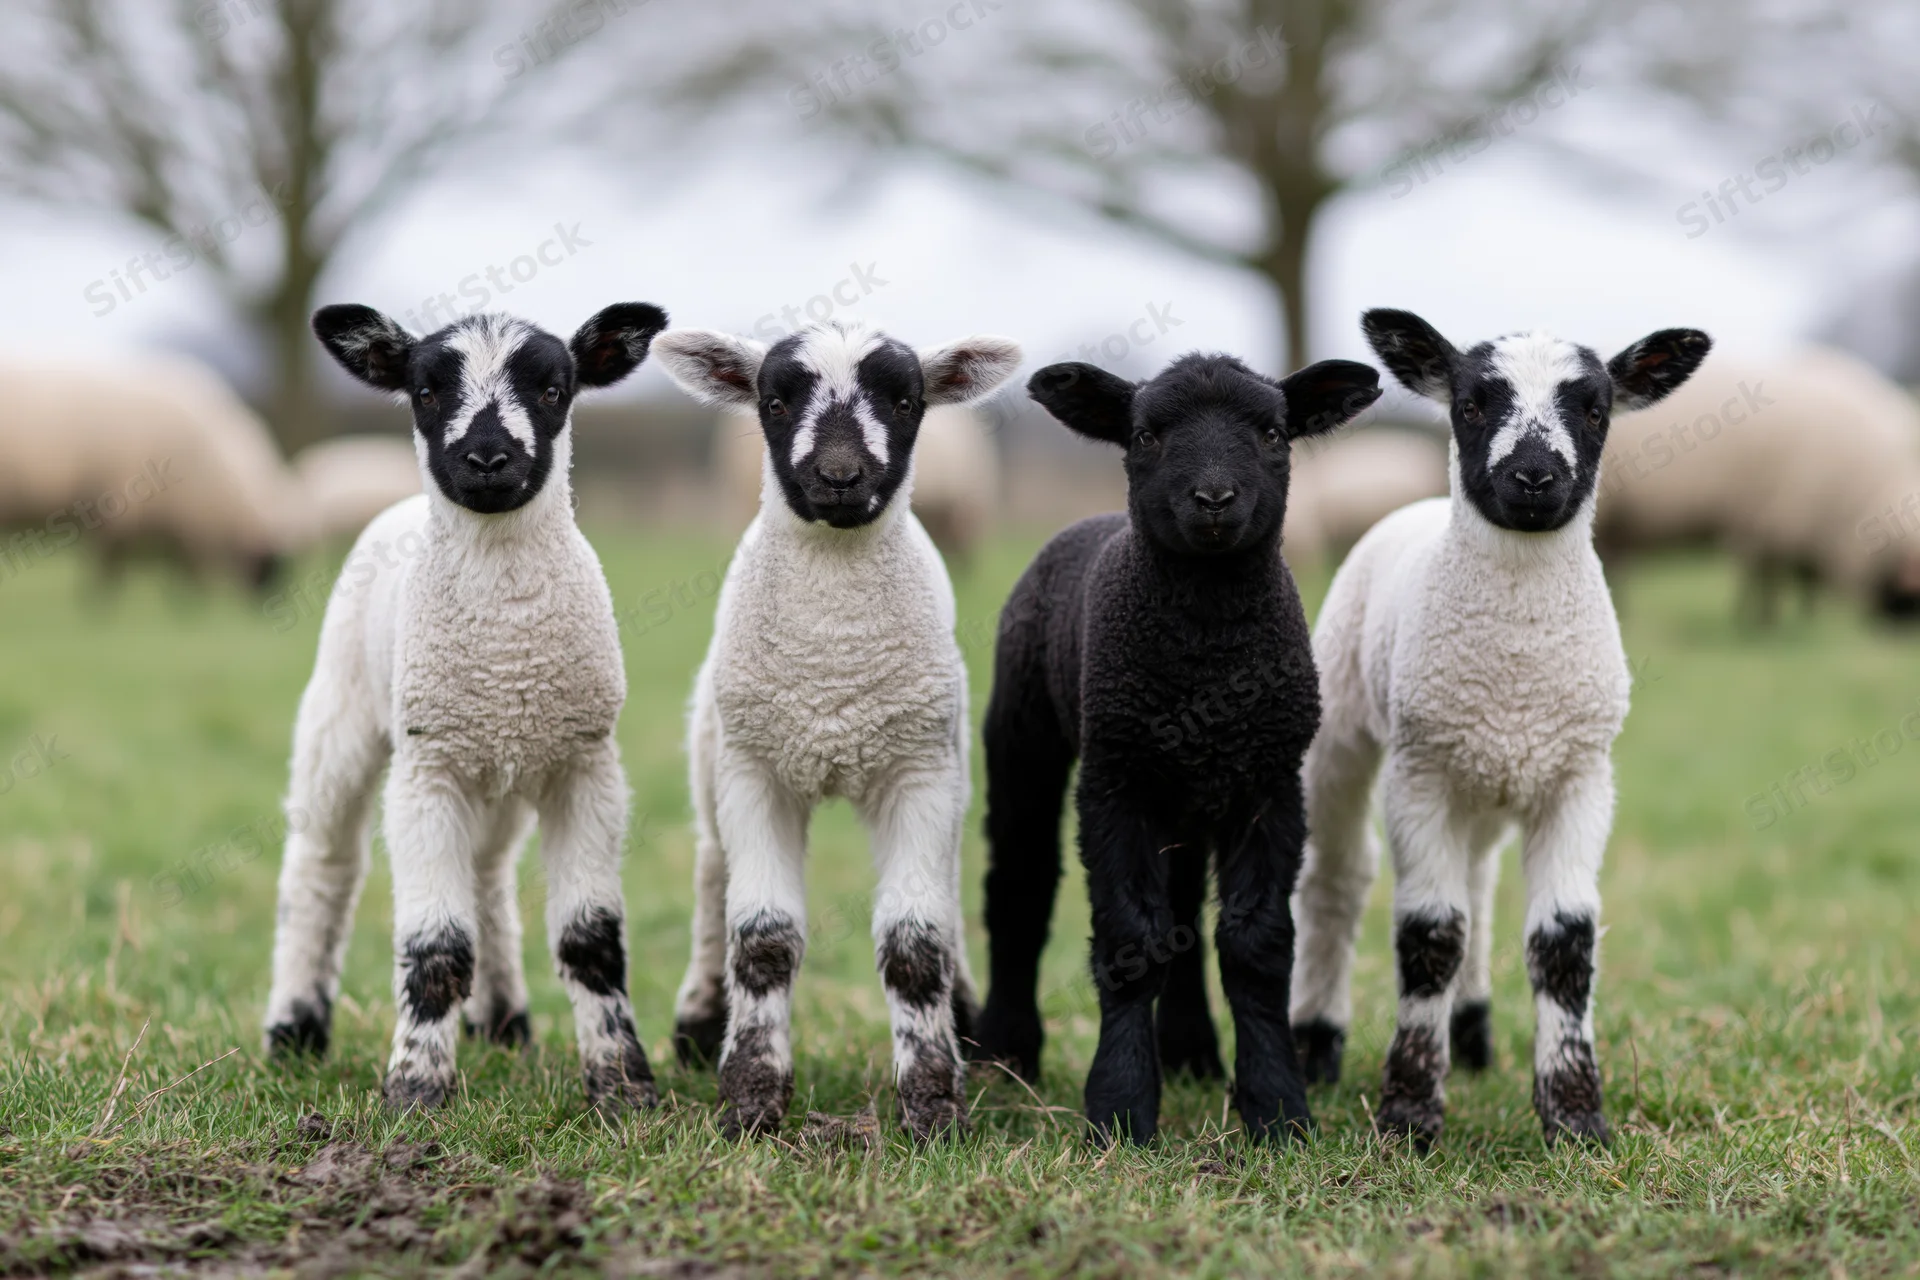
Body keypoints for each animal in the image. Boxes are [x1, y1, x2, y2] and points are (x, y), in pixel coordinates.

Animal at [0, 351, 315, 590]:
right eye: (271, 562)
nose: (267, 600)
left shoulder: (178, 518)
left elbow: (181, 564)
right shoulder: (117, 505)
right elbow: (112, 561)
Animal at [971, 351, 1383, 1144]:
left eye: (1274, 433)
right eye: (1144, 435)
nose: (1214, 498)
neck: (1208, 650)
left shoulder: (1271, 783)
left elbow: (1256, 947)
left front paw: (1278, 1111)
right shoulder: (1115, 782)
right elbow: (1131, 940)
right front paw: (1121, 1109)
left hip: (1192, 792)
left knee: (1186, 911)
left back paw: (1191, 1051)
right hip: (1024, 735)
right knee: (1020, 887)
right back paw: (1007, 1051)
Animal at [1288, 309, 1710, 1149]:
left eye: (1595, 410)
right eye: (1472, 404)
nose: (1535, 478)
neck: (1515, 669)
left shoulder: (1581, 779)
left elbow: (1563, 942)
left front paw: (1576, 1118)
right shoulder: (1419, 775)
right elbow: (1429, 936)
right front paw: (1409, 1113)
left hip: (1482, 772)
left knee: (1479, 884)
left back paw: (1474, 1033)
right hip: (1346, 731)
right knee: (1336, 882)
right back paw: (1317, 1043)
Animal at [1594, 344, 1920, 622]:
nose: (1904, 626)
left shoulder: (1785, 525)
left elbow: (1795, 579)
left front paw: (1801, 618)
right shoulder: (1775, 521)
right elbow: (1766, 578)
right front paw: (1762, 621)